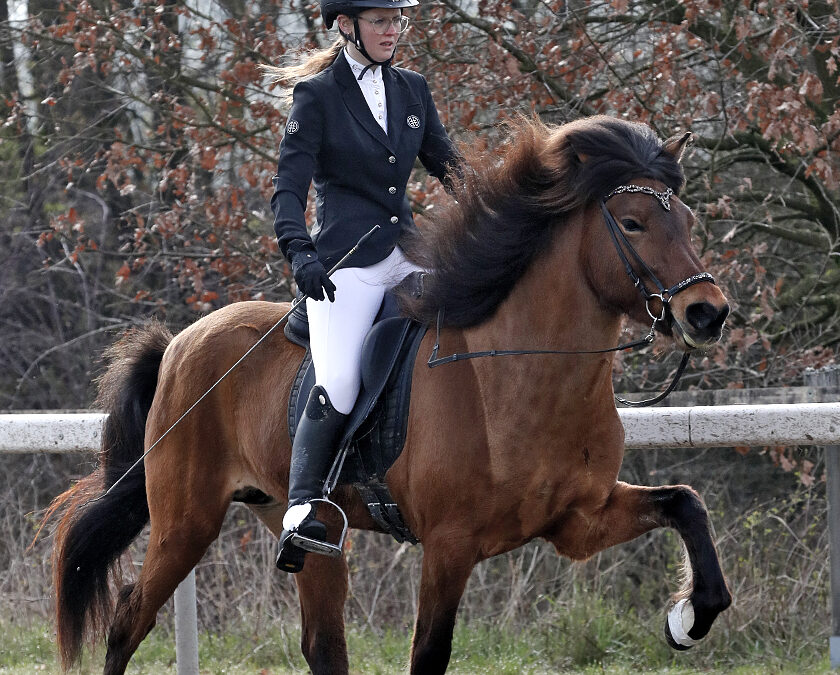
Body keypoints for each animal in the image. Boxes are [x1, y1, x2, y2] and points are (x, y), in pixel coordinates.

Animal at [46, 116, 728, 675]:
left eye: (688, 222)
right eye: (633, 223)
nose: (708, 313)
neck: (521, 375)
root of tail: (178, 344)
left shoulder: (578, 522)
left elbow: (685, 504)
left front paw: (690, 618)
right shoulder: (450, 546)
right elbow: (429, 655)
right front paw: (689, 615)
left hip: (302, 526)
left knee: (322, 645)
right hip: (185, 524)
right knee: (127, 622)